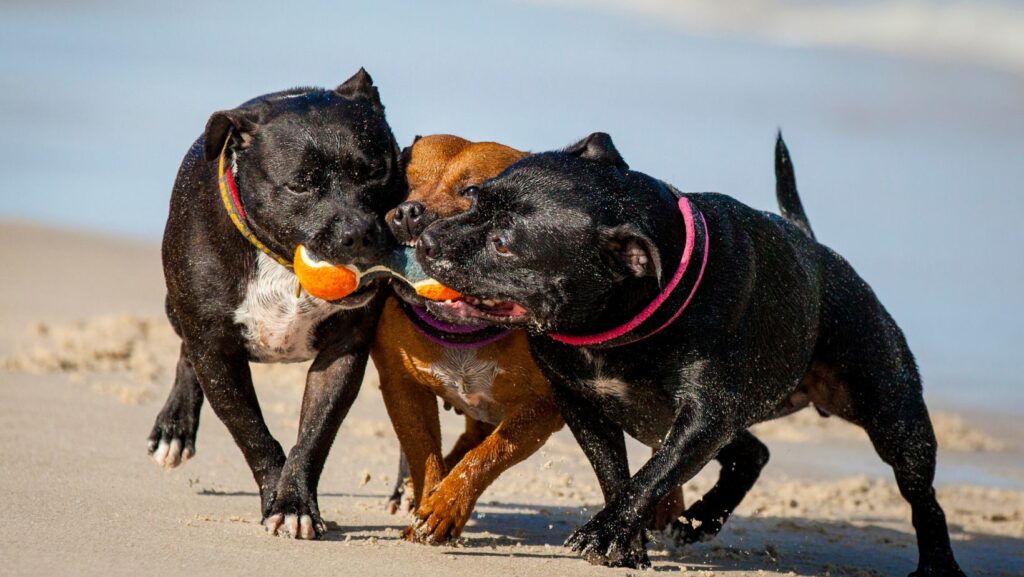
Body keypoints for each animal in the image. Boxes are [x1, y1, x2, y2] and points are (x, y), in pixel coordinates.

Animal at [148, 68, 403, 541]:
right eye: (299, 185)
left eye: (377, 171)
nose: (358, 232)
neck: (283, 267)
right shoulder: (216, 352)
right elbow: (252, 432)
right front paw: (281, 500)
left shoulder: (343, 353)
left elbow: (315, 434)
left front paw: (294, 501)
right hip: (178, 309)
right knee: (186, 352)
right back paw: (173, 429)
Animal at [372, 136, 684, 545]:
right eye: (404, 185)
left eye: (471, 192)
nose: (408, 212)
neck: (466, 331)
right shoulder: (402, 388)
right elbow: (425, 454)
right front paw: (430, 497)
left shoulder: (541, 409)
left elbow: (487, 455)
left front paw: (445, 505)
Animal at [411, 133, 962, 573]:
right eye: (476, 197)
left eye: (504, 245)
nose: (426, 240)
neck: (614, 326)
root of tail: (815, 248)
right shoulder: (583, 404)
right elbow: (615, 473)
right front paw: (626, 544)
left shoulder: (703, 416)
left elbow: (655, 473)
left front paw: (604, 533)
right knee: (752, 453)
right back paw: (700, 518)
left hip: (895, 417)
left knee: (923, 497)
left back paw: (939, 563)